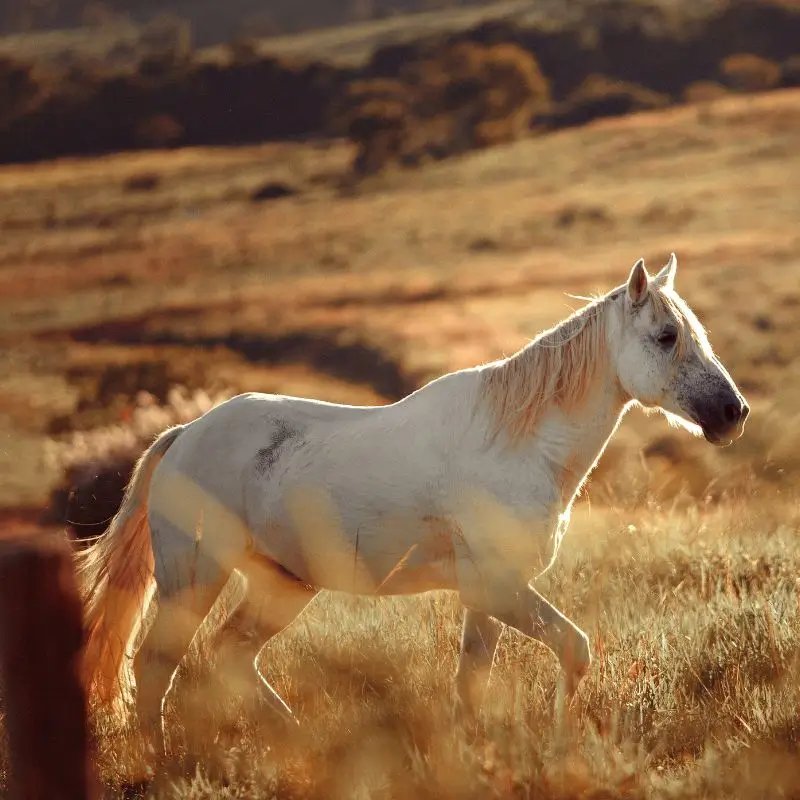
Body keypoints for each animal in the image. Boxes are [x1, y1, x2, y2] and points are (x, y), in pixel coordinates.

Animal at [73, 253, 752, 752]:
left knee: (229, 657)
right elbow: (574, 650)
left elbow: (472, 683)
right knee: (156, 668)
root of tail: (186, 435)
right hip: (193, 579)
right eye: (666, 336)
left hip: (282, 586)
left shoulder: (487, 597)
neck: (518, 443)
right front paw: (561, 744)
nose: (732, 413)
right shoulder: (498, 587)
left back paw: (301, 742)